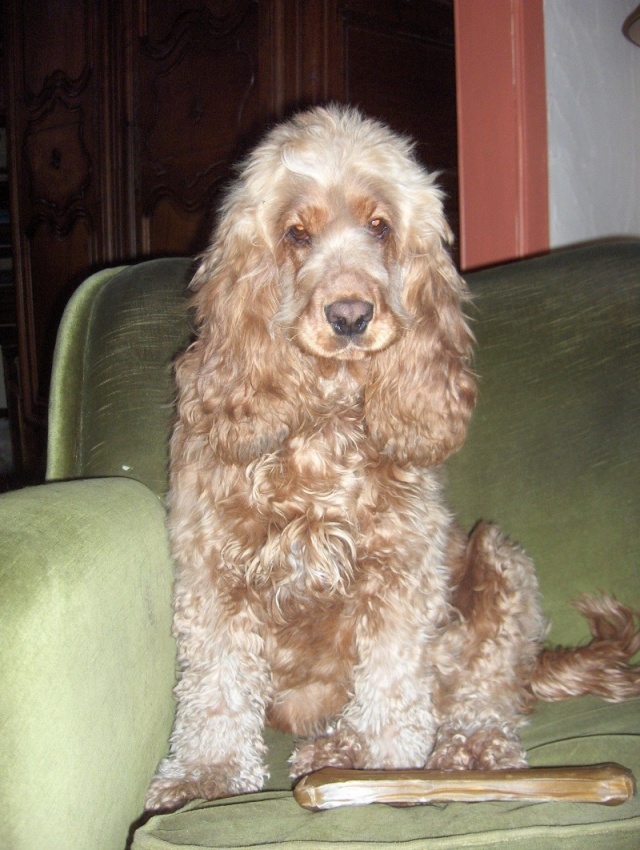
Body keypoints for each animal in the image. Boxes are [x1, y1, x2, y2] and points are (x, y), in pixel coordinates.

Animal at [145, 106, 640, 808]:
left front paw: (385, 766)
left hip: (499, 565)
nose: (350, 315)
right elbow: (215, 684)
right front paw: (205, 775)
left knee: (486, 693)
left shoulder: (403, 568)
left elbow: (393, 682)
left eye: (379, 226)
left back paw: (449, 748)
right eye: (297, 234)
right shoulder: (213, 569)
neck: (323, 425)